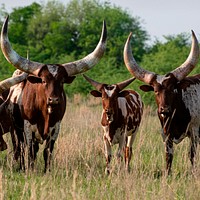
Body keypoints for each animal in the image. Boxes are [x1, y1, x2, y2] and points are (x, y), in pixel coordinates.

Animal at [0, 15, 108, 172]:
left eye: (62, 81)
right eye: (43, 81)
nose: (54, 100)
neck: (45, 114)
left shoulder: (55, 128)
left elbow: (47, 152)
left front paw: (47, 171)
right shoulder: (28, 128)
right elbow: (29, 151)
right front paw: (30, 170)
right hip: (16, 130)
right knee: (20, 148)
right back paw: (21, 167)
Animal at [123, 30, 200, 174]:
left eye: (173, 89)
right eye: (155, 91)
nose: (164, 110)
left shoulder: (195, 131)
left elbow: (192, 155)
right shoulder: (166, 134)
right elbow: (168, 156)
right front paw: (167, 174)